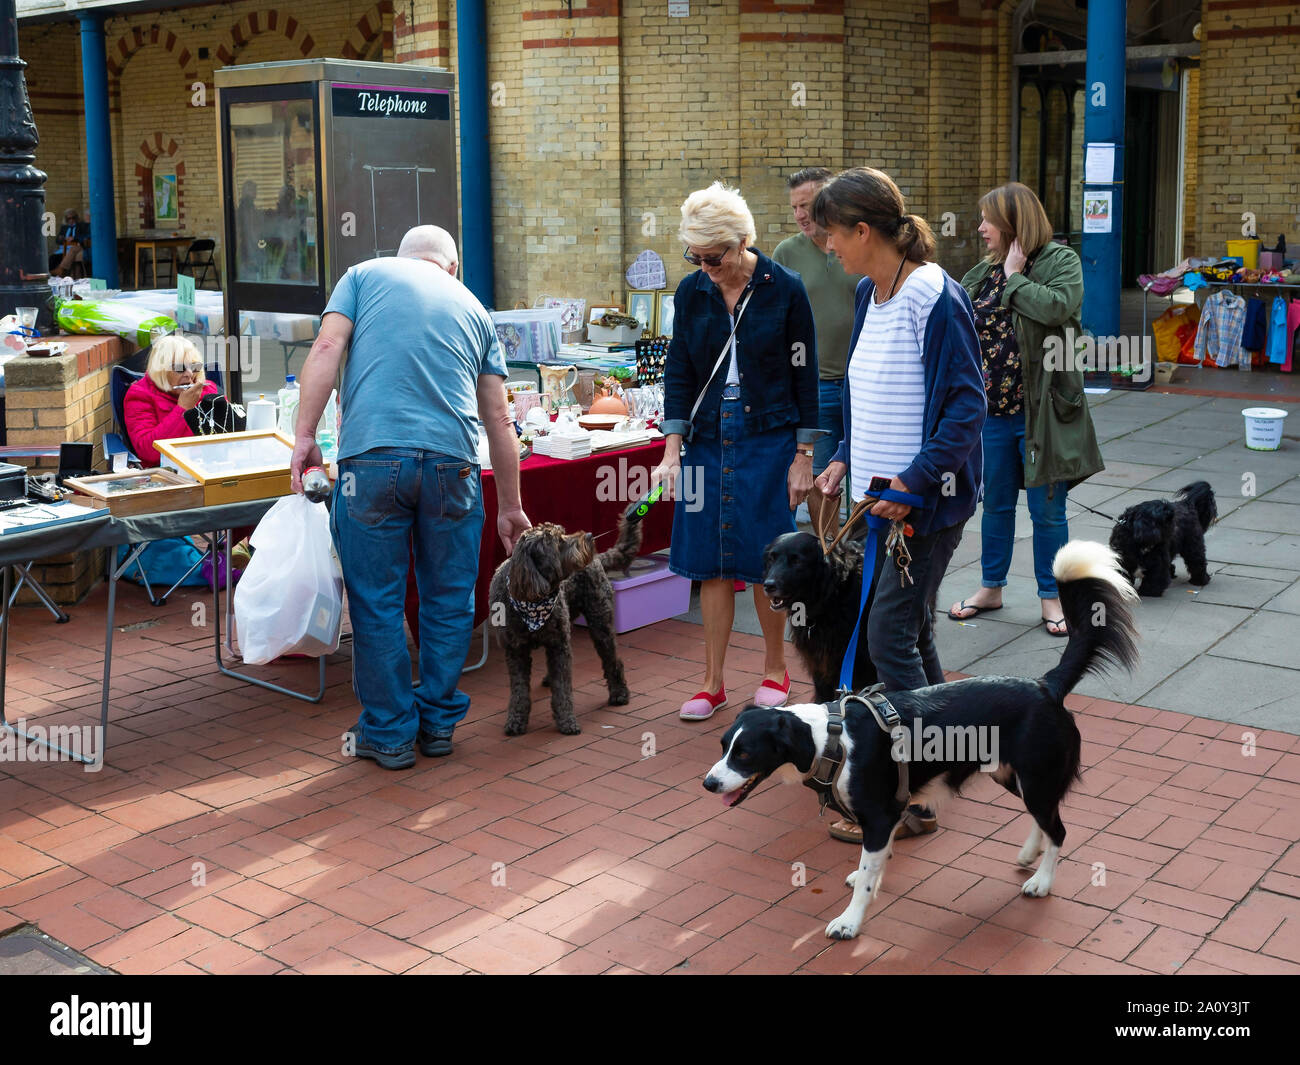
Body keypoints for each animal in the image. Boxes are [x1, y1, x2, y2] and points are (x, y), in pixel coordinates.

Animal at [488, 514, 642, 733]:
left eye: (563, 533)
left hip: (600, 621)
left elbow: (562, 686)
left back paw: (619, 693)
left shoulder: (560, 644)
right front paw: (516, 720)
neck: (531, 600)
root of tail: (597, 558)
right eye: (557, 542)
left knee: (612, 660)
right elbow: (519, 690)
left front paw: (567, 720)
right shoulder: (515, 649)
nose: (589, 536)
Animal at [702, 540, 1138, 941]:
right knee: (1043, 819)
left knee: (1059, 830)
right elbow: (874, 865)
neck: (832, 739)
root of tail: (1047, 684)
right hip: (1011, 774)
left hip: (1036, 775)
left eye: (745, 753)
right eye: (723, 747)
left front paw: (850, 921)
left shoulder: (879, 816)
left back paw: (1042, 881)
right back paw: (1031, 853)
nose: (708, 784)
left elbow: (866, 878)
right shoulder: (889, 813)